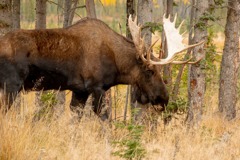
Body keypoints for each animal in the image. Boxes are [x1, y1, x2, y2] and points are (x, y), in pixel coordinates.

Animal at [0, 15, 202, 116]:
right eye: (149, 70)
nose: (164, 98)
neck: (117, 63)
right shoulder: (96, 87)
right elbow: (104, 117)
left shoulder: (79, 91)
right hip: (11, 86)